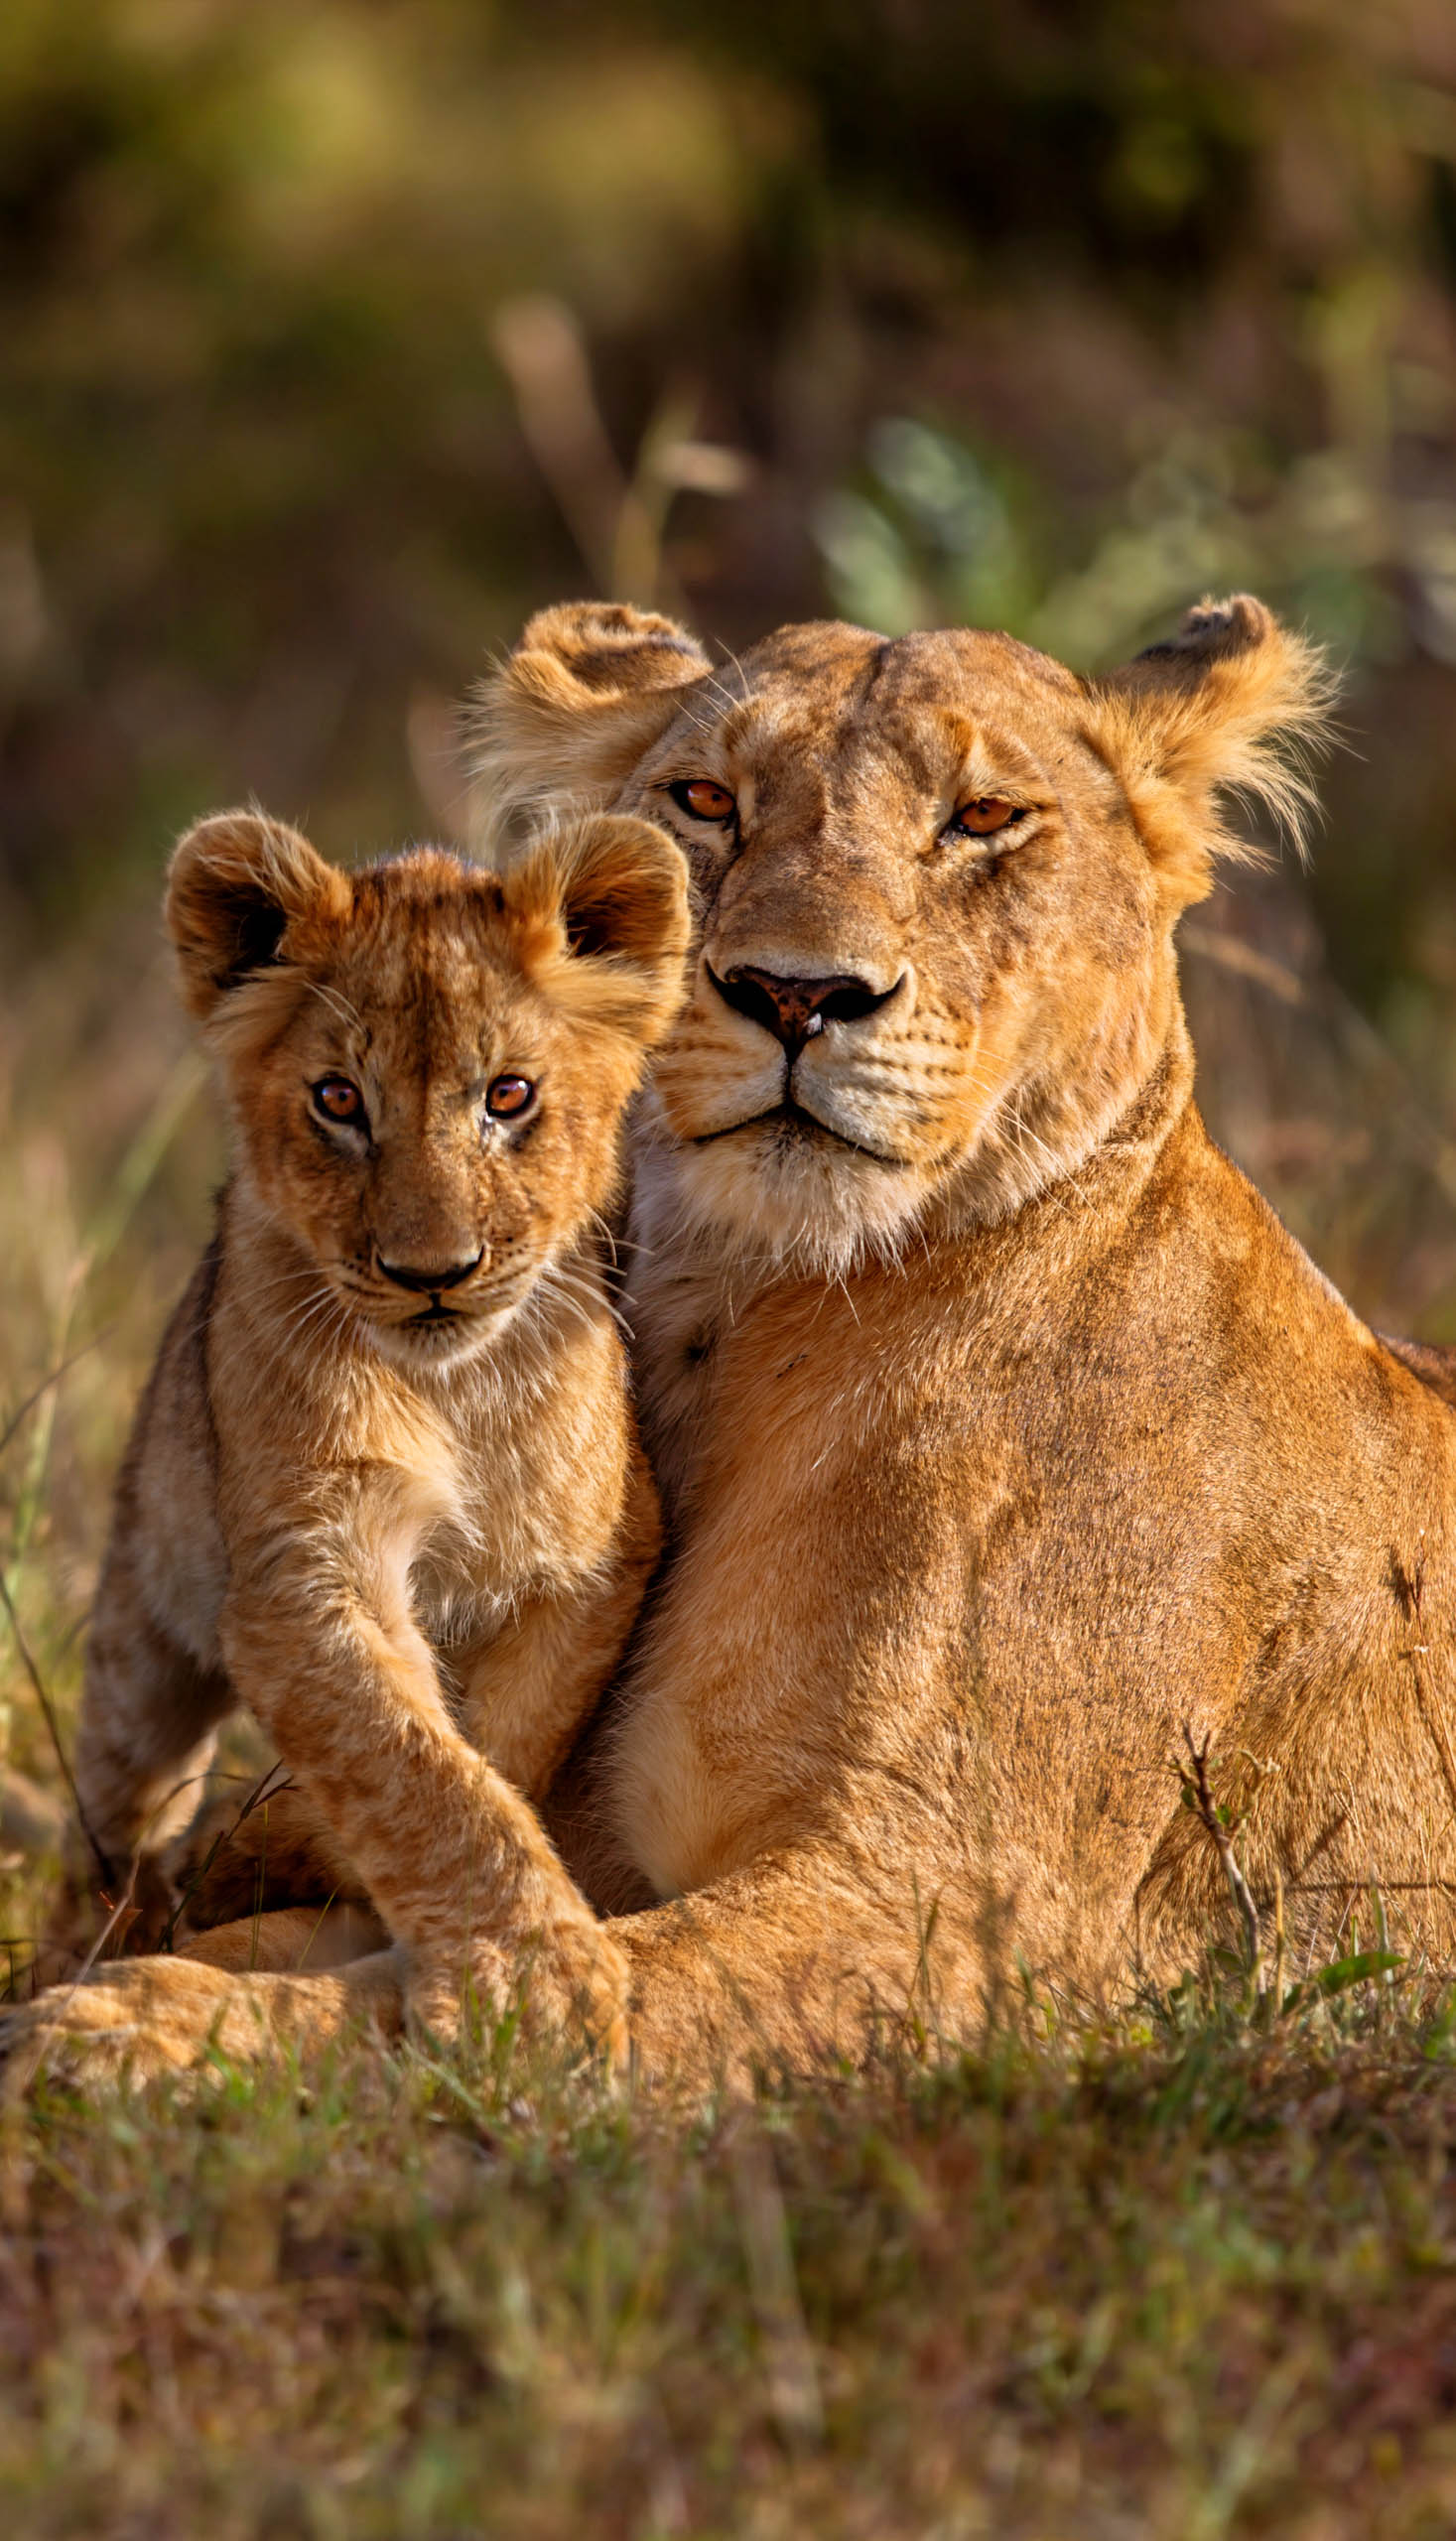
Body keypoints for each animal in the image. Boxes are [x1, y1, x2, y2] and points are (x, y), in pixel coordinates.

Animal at [24, 802, 689, 2062]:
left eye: (508, 1096)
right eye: (339, 1101)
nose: (433, 1274)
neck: (455, 1390)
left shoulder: (589, 1559)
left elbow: (494, 1747)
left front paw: (288, 1854)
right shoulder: (303, 1566)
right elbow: (410, 1764)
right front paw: (535, 1978)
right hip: (143, 1623)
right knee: (116, 1806)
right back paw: (90, 1931)